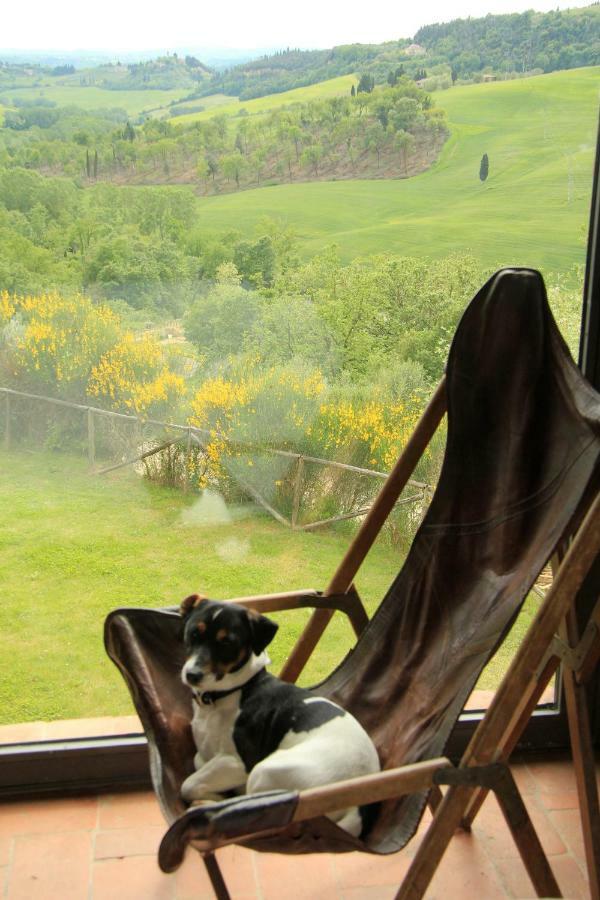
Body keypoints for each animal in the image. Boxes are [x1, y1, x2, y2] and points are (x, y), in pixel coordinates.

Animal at [178, 592, 380, 836]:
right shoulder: (206, 756)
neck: (233, 691)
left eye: (227, 642)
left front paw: (213, 797)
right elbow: (199, 763)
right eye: (193, 633)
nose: (192, 675)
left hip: (264, 771)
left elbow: (189, 785)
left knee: (252, 810)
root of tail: (359, 806)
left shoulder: (238, 763)